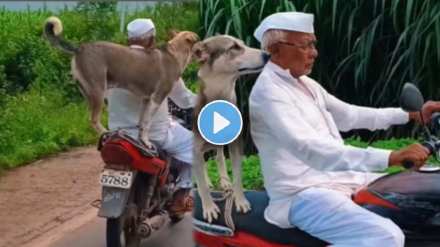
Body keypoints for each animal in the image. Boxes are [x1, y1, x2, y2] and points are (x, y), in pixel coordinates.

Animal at [43, 16, 199, 148]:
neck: (174, 52)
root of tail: (80, 48)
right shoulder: (157, 98)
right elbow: (147, 123)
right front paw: (147, 142)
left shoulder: (146, 100)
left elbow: (142, 123)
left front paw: (141, 139)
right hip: (98, 91)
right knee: (93, 120)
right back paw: (108, 134)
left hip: (88, 93)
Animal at [193, 35, 270, 223]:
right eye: (234, 47)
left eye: (242, 44)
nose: (268, 55)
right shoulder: (194, 149)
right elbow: (202, 185)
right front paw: (209, 207)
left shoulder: (236, 144)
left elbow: (238, 177)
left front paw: (240, 200)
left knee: (218, 157)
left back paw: (224, 181)